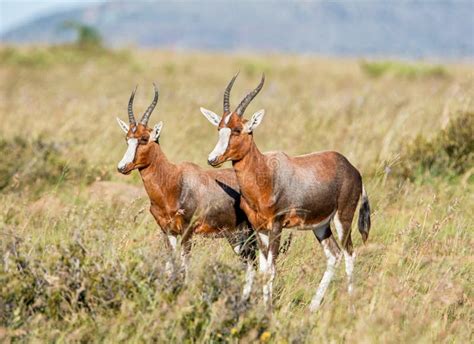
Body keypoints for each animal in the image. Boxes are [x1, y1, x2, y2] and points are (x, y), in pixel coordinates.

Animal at [115, 84, 258, 296]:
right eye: (127, 138)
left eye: (144, 138)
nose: (122, 167)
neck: (174, 181)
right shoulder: (167, 231)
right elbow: (170, 265)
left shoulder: (188, 231)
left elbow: (185, 266)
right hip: (235, 236)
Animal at [200, 74, 370, 310]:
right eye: (219, 129)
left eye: (237, 130)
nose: (212, 159)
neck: (266, 173)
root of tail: (353, 169)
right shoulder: (260, 228)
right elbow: (264, 270)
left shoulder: (277, 225)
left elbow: (271, 270)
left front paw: (268, 310)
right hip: (320, 225)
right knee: (334, 255)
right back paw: (313, 307)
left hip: (342, 219)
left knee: (349, 254)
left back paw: (351, 307)